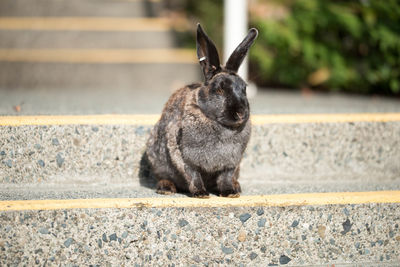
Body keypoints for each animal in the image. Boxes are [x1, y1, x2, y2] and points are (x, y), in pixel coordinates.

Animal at [145, 23, 258, 199]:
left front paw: (229, 193)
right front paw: (201, 194)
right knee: (164, 177)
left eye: (244, 88)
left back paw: (236, 186)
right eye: (220, 89)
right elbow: (193, 175)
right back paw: (166, 188)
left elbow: (225, 177)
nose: (241, 113)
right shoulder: (184, 157)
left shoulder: (231, 163)